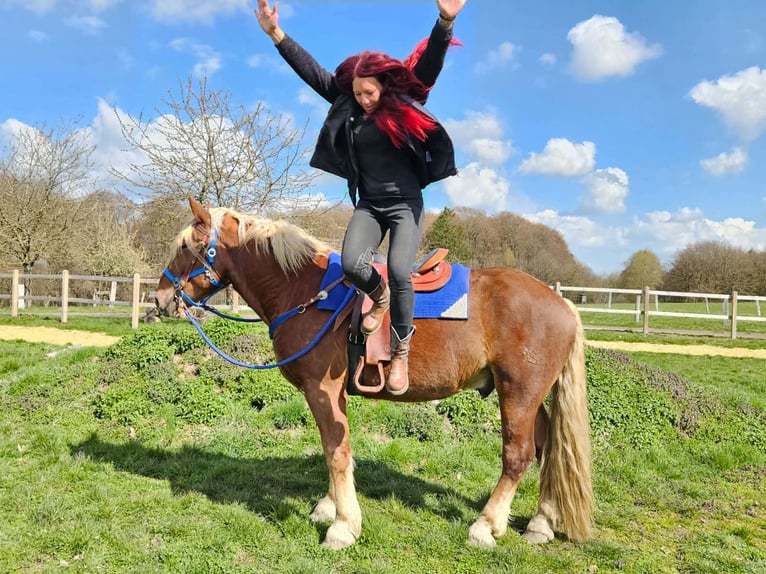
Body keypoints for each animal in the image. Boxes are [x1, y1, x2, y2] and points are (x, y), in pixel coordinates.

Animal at [155, 197, 593, 550]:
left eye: (186, 247)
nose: (160, 298)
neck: (306, 290)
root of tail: (563, 304)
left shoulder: (322, 388)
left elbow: (336, 451)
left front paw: (343, 526)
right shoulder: (333, 394)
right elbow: (335, 448)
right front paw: (329, 507)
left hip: (518, 392)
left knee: (518, 455)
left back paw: (485, 526)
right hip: (531, 396)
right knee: (547, 448)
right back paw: (540, 523)